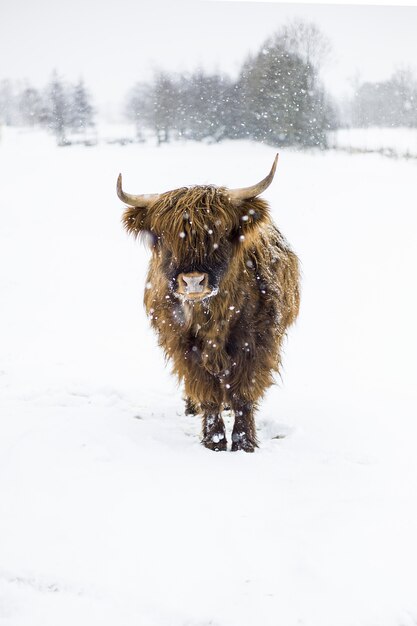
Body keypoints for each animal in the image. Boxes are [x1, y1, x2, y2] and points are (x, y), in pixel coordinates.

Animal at [117, 154, 300, 450]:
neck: (213, 316)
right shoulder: (183, 345)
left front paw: (244, 443)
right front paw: (213, 440)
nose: (193, 281)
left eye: (220, 234)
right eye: (164, 237)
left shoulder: (257, 343)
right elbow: (206, 391)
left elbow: (243, 394)